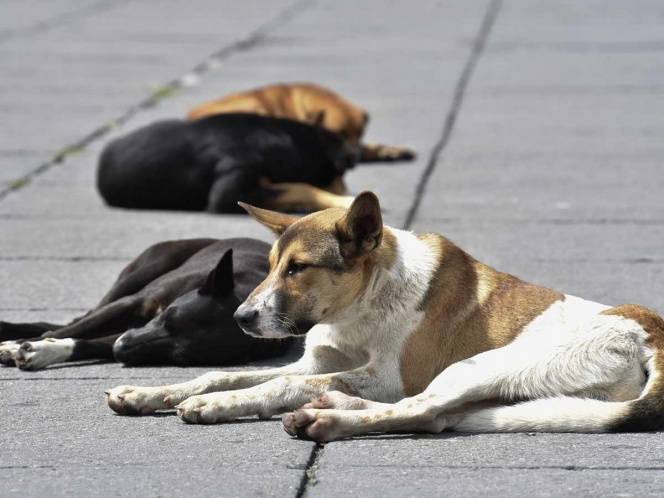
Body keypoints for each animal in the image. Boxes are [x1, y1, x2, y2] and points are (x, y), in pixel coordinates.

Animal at [0, 237, 296, 370]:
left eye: (180, 358)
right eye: (166, 317)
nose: (121, 348)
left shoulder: (131, 334)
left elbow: (88, 343)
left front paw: (44, 351)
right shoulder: (132, 305)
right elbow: (72, 330)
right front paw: (24, 345)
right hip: (142, 272)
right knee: (79, 319)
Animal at [104, 193, 664, 442]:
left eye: (298, 269)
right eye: (269, 266)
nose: (240, 318)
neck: (364, 306)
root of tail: (652, 332)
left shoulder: (392, 376)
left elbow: (273, 386)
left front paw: (218, 406)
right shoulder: (313, 363)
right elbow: (221, 373)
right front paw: (151, 392)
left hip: (479, 367)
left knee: (420, 409)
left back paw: (325, 418)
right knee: (436, 416)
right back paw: (332, 405)